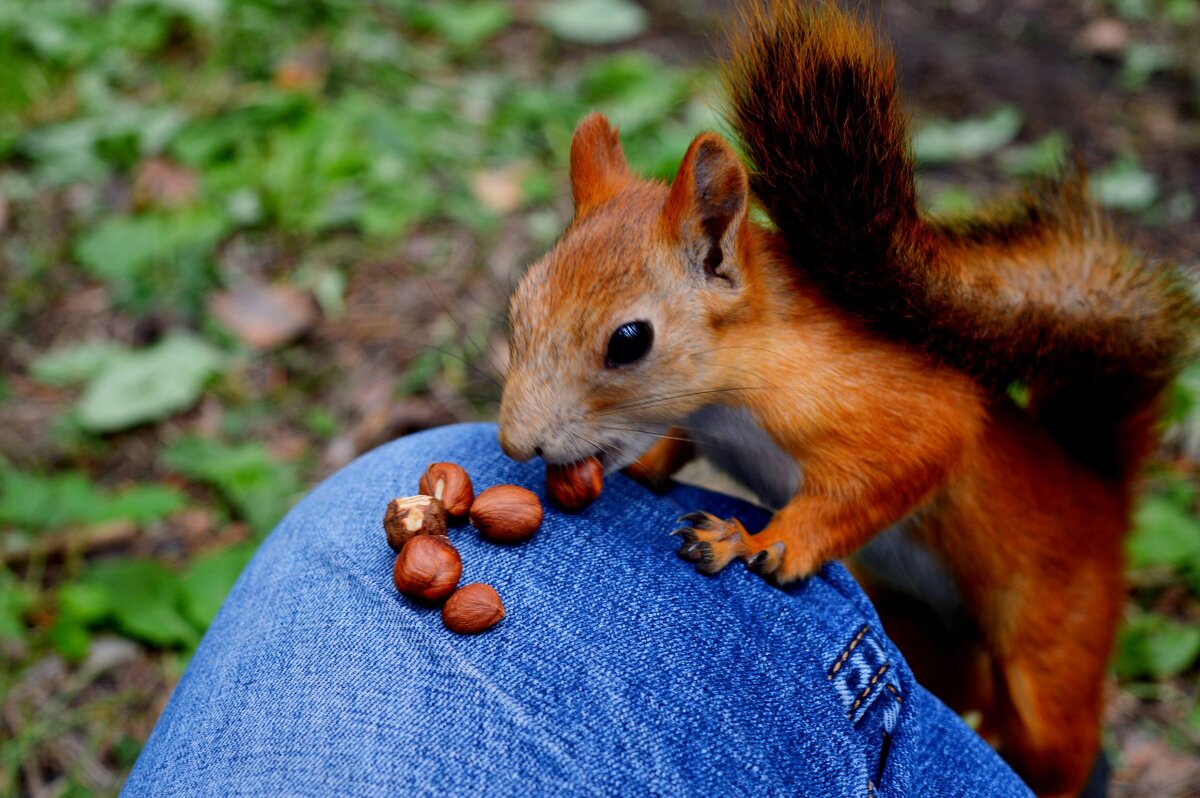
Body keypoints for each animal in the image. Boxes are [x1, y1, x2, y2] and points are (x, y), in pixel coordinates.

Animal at [492, 3, 1195, 792]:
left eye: (629, 340)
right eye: (519, 303)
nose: (516, 442)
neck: (729, 400)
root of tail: (1101, 493)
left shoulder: (890, 406)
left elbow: (896, 464)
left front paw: (758, 543)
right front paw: (648, 467)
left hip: (1057, 639)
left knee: (1058, 744)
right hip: (920, 619)